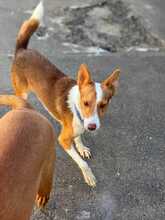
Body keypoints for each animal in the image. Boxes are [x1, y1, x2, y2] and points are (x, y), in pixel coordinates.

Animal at [11, 2, 120, 186]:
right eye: (86, 103)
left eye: (103, 105)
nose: (92, 127)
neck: (77, 110)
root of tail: (22, 50)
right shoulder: (62, 140)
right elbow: (82, 162)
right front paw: (88, 175)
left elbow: (79, 139)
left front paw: (81, 147)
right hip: (22, 92)